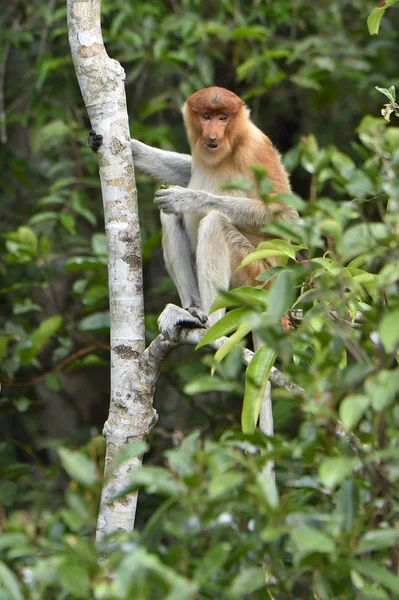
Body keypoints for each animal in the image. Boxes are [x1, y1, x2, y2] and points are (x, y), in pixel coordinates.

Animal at [89, 85, 298, 342]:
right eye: (206, 116)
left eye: (223, 117)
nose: (213, 136)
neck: (231, 145)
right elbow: (186, 171)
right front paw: (128, 147)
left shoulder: (256, 148)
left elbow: (285, 215)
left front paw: (184, 199)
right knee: (169, 218)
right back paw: (193, 309)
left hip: (256, 274)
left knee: (214, 223)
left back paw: (207, 323)